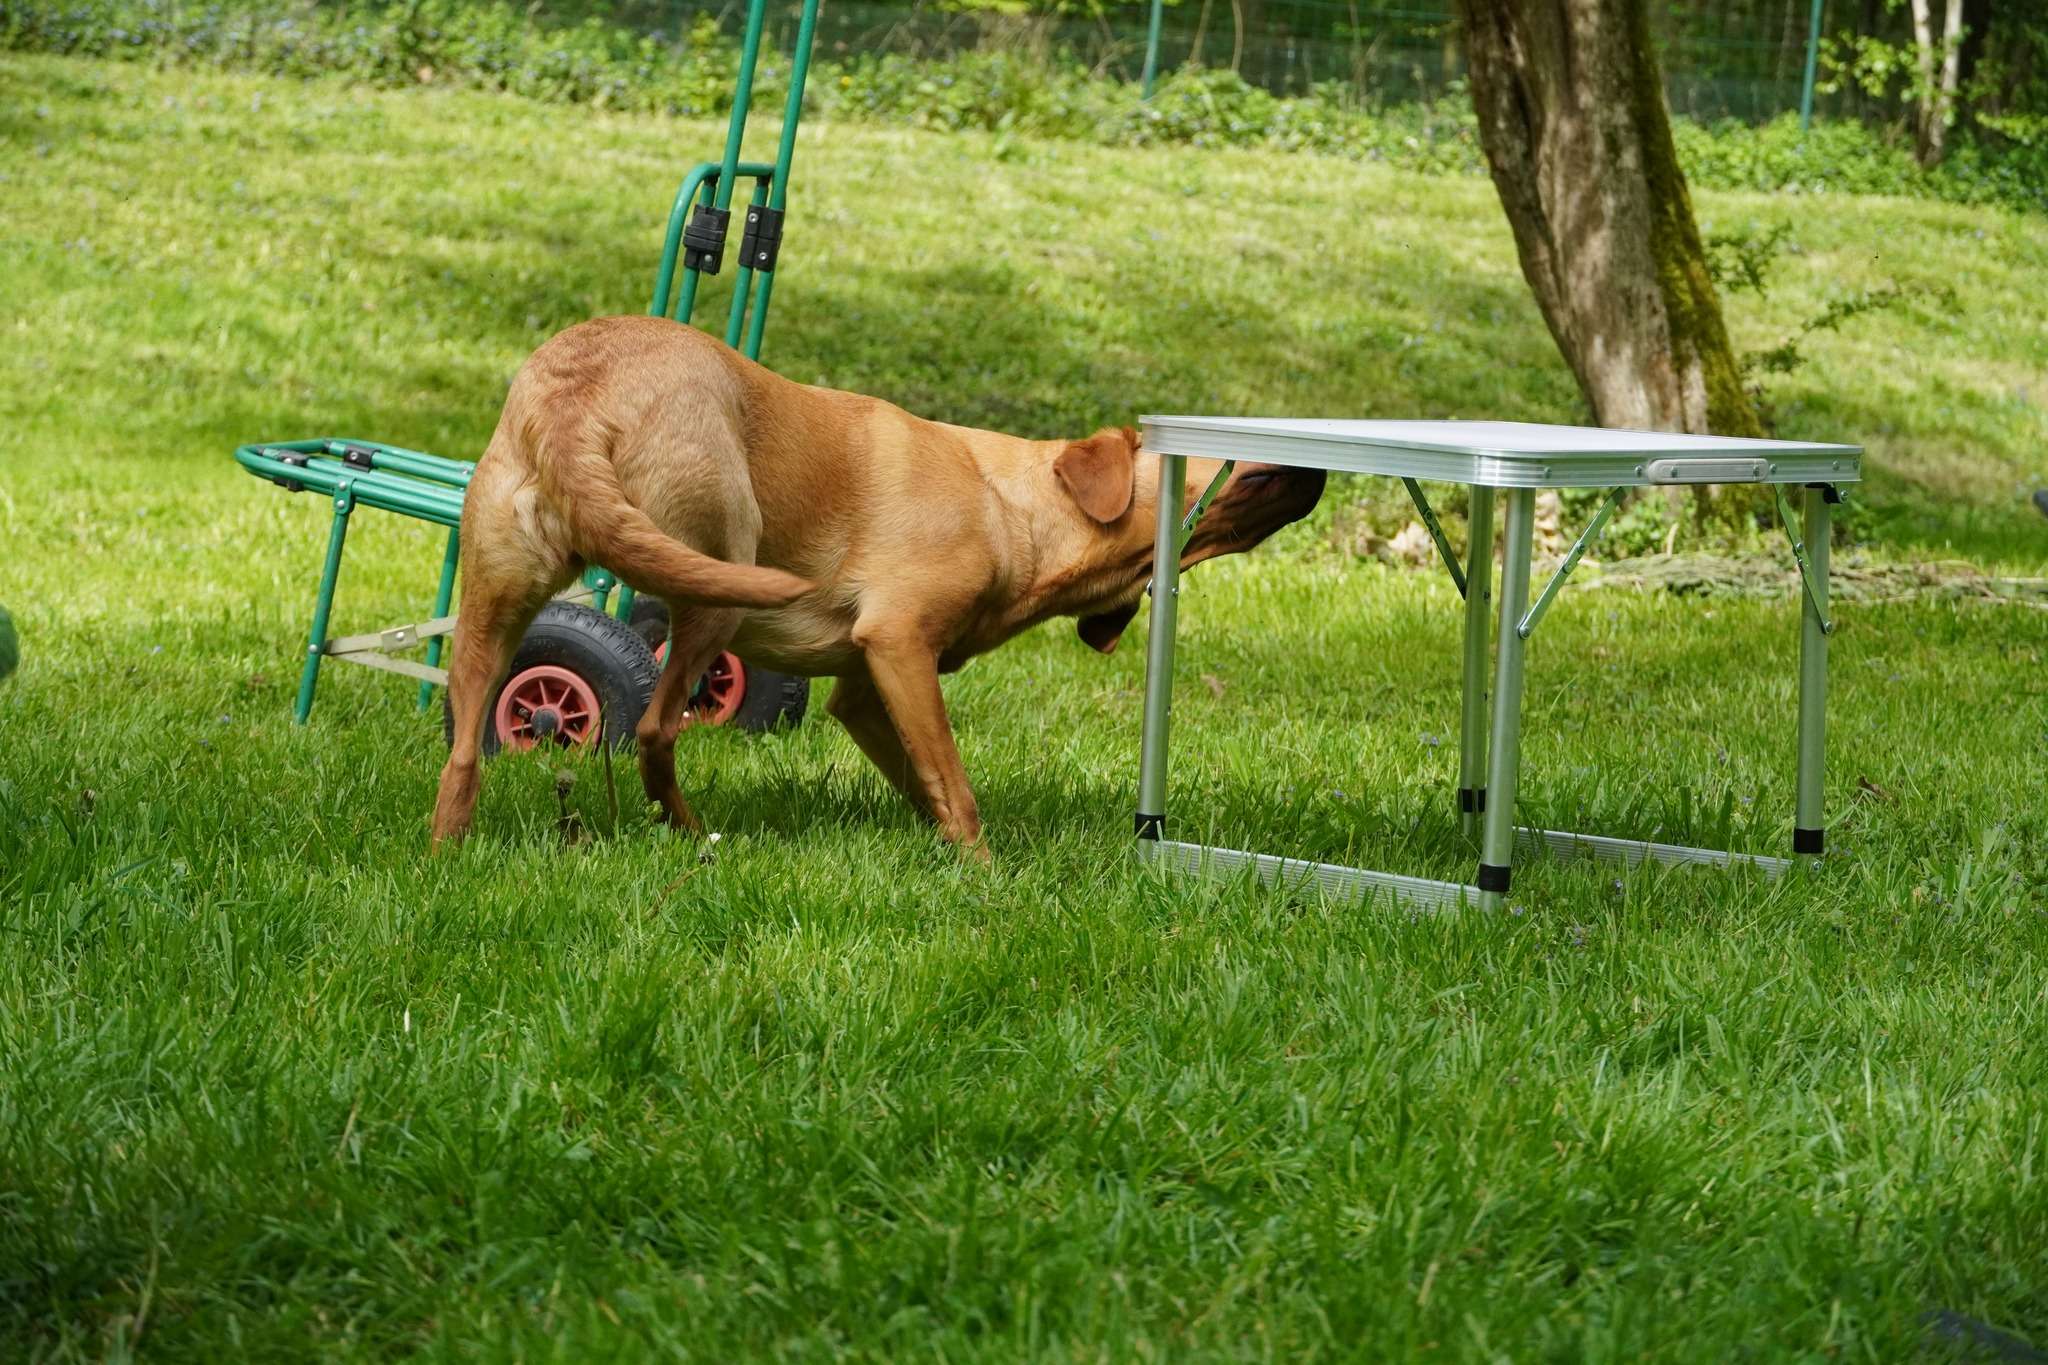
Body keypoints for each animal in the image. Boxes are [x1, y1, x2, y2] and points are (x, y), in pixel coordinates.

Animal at [432, 319, 1327, 855]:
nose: (1322, 469)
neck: (1010, 506)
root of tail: (573, 394)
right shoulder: (898, 646)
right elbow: (956, 786)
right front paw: (988, 876)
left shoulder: (864, 691)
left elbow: (925, 783)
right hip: (716, 593)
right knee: (654, 729)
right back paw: (696, 837)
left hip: (490, 618)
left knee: (466, 752)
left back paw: (455, 849)